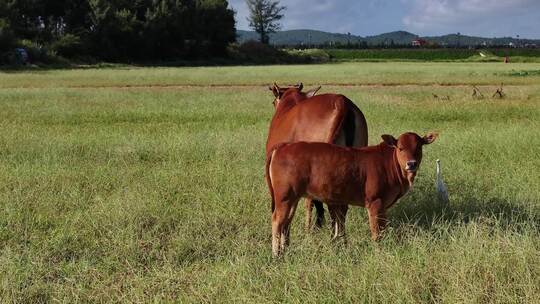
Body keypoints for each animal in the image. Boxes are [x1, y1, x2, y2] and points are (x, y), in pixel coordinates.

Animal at [266, 132, 438, 255]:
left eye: (419, 147)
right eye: (400, 148)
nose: (411, 164)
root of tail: (283, 146)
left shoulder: (383, 207)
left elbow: (383, 228)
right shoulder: (375, 202)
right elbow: (376, 232)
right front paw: (378, 251)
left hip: (292, 199)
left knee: (286, 223)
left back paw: (286, 248)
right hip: (284, 197)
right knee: (277, 222)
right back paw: (276, 254)